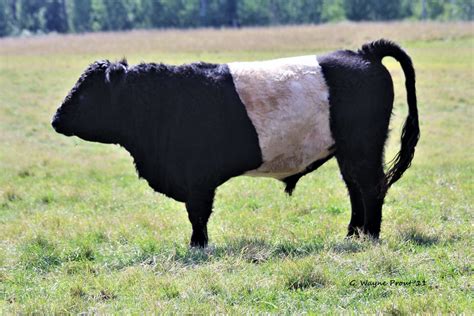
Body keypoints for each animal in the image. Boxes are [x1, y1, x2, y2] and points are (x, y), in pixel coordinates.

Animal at [52, 39, 418, 247]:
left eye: (86, 94)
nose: (56, 119)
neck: (164, 99)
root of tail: (364, 53)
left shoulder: (197, 178)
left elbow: (197, 214)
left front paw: (197, 246)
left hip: (363, 147)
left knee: (371, 187)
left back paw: (371, 236)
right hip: (348, 151)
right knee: (355, 188)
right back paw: (353, 235)